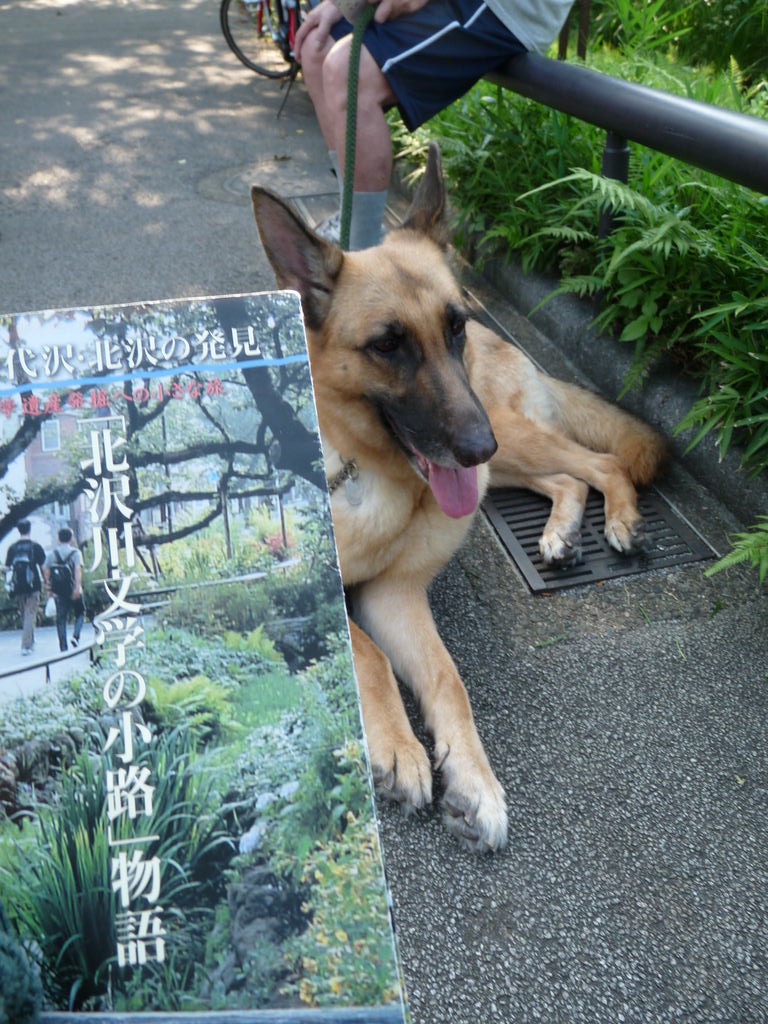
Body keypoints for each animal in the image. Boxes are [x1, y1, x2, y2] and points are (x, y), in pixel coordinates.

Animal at [251, 144, 667, 853]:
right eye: (387, 344)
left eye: (454, 328)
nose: (476, 445)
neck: (363, 469)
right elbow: (367, 653)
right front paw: (399, 748)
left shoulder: (396, 593)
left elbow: (448, 677)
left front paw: (474, 779)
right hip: (503, 462)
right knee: (569, 477)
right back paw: (560, 533)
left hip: (508, 445)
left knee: (601, 463)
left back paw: (614, 522)